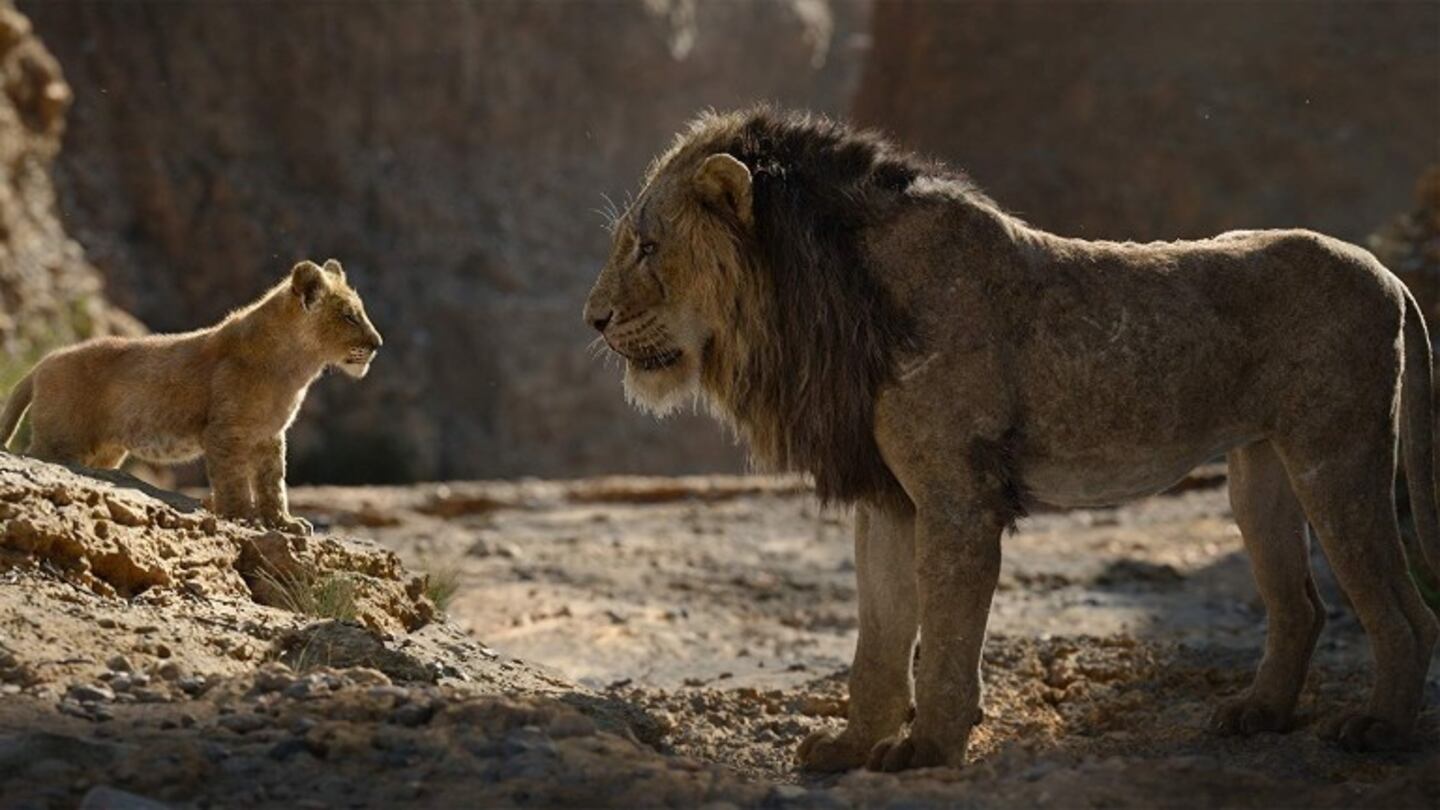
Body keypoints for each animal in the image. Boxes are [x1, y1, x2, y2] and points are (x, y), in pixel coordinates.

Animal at [581, 108, 1440, 766]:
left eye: (648, 247)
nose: (593, 319)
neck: (824, 297)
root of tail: (1387, 272)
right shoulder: (888, 498)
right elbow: (878, 639)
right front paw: (851, 749)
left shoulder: (957, 497)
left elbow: (946, 634)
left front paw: (927, 750)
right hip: (1259, 471)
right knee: (1303, 605)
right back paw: (1257, 714)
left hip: (1336, 454)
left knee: (1403, 611)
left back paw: (1380, 729)